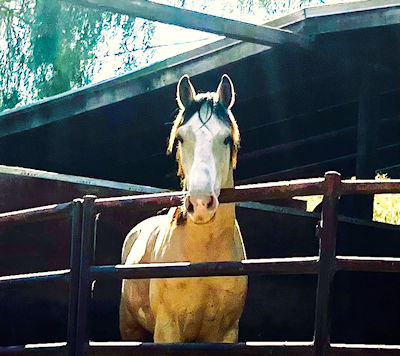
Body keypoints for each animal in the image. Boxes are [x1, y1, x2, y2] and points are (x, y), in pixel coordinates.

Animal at [119, 73, 247, 342]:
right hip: (129, 328)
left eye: (227, 138)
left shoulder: (227, 332)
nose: (199, 203)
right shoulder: (167, 329)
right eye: (180, 138)